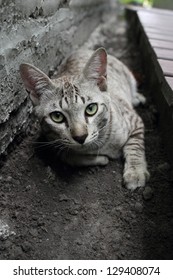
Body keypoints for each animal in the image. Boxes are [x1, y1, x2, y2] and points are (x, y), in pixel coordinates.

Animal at [19, 47, 149, 190]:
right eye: (57, 116)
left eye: (91, 109)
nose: (80, 137)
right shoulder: (54, 142)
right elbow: (69, 157)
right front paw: (100, 158)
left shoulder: (134, 120)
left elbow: (135, 145)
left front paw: (135, 172)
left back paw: (137, 97)